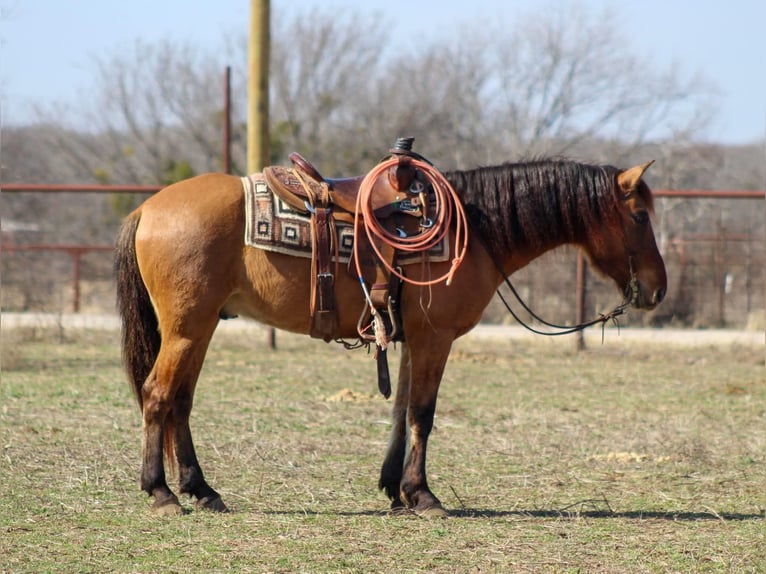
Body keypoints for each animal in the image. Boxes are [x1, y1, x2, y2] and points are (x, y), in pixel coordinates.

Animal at [114, 156, 664, 516]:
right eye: (639, 216)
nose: (657, 289)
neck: (473, 230)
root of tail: (148, 209)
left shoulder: (410, 340)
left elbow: (401, 410)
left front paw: (394, 490)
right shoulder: (435, 340)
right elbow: (423, 414)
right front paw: (423, 495)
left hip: (199, 328)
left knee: (180, 401)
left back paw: (201, 489)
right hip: (186, 329)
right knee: (158, 394)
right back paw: (161, 492)